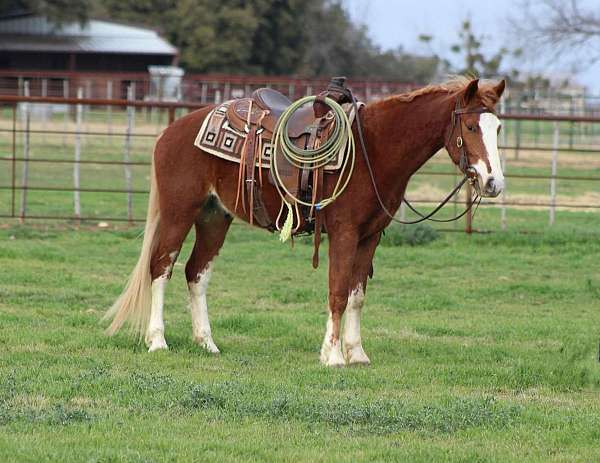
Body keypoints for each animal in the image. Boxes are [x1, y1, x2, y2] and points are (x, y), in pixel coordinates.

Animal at [104, 78, 506, 368]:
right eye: (471, 126)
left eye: (498, 127)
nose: (493, 182)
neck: (373, 151)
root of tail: (172, 131)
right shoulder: (344, 233)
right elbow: (338, 292)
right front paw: (333, 356)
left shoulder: (371, 236)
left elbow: (357, 296)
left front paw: (357, 353)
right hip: (179, 212)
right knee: (161, 267)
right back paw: (157, 340)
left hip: (215, 217)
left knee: (196, 272)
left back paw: (207, 343)